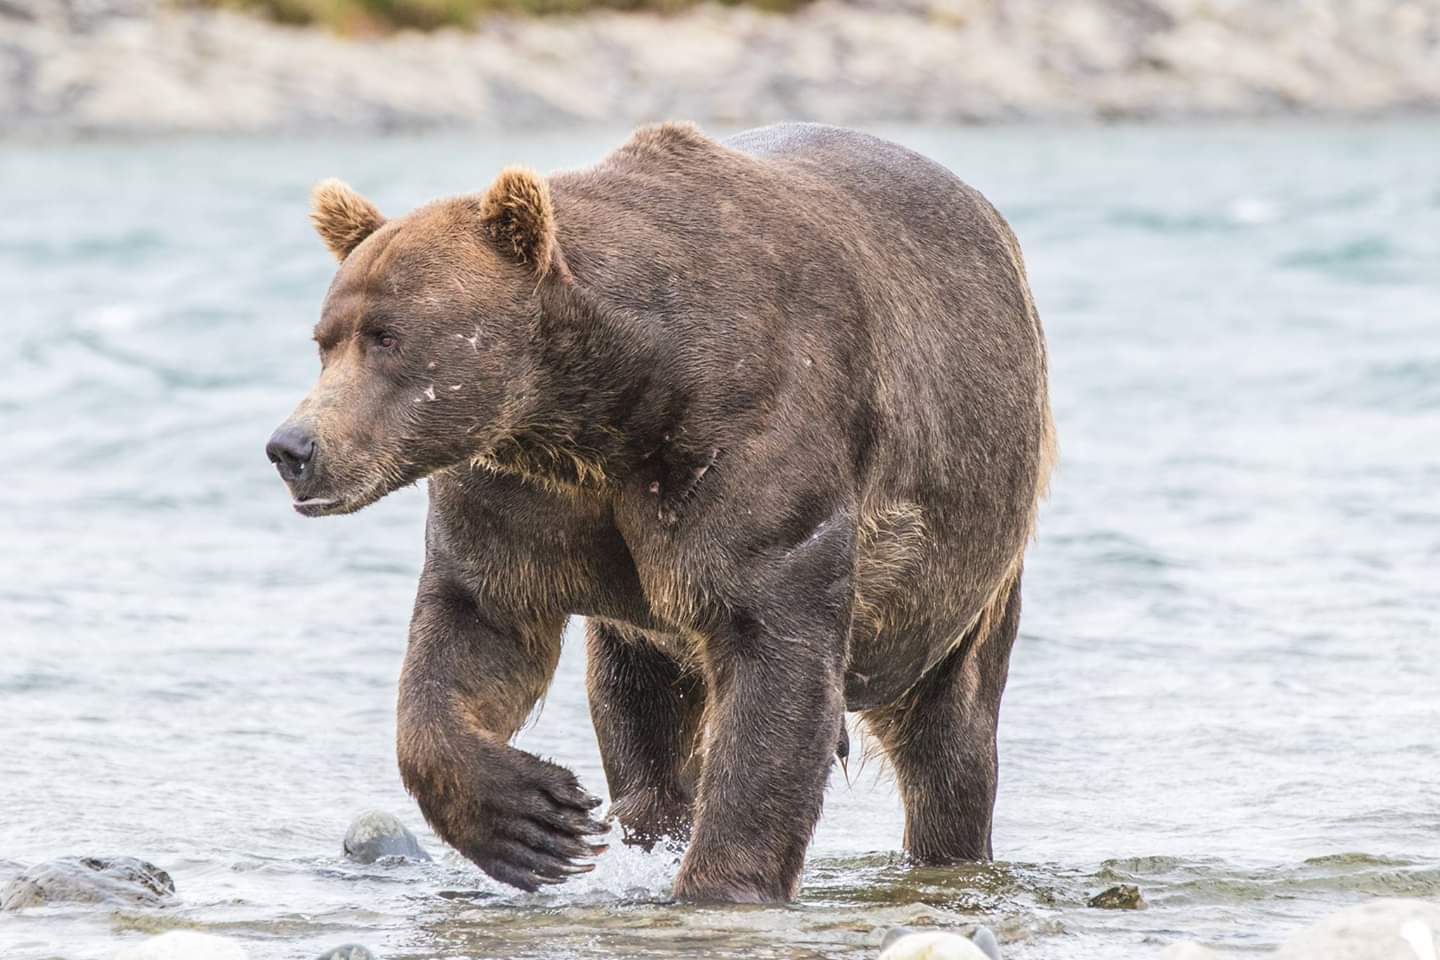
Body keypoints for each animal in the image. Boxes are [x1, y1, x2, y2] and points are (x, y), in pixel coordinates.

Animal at [267, 120, 1059, 903]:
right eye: (326, 340)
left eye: (388, 337)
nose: (293, 447)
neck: (606, 410)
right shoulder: (521, 499)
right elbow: (474, 629)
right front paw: (537, 818)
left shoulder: (751, 460)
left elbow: (774, 666)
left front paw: (721, 883)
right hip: (644, 638)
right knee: (640, 719)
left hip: (964, 572)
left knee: (950, 742)